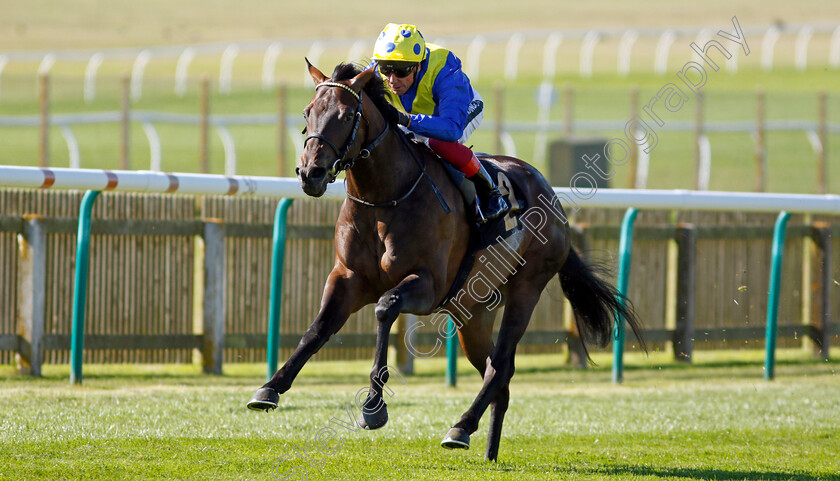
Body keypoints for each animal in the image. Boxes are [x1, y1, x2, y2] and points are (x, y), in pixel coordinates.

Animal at [246, 61, 648, 462]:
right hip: (473, 310)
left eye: (346, 116)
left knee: (501, 365)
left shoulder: (428, 285)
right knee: (495, 372)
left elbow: (385, 307)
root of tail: (552, 197)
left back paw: (461, 427)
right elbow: (317, 329)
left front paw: (373, 406)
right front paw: (270, 388)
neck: (384, 198)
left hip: (526, 288)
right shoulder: (347, 278)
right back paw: (487, 450)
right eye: (307, 113)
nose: (309, 173)